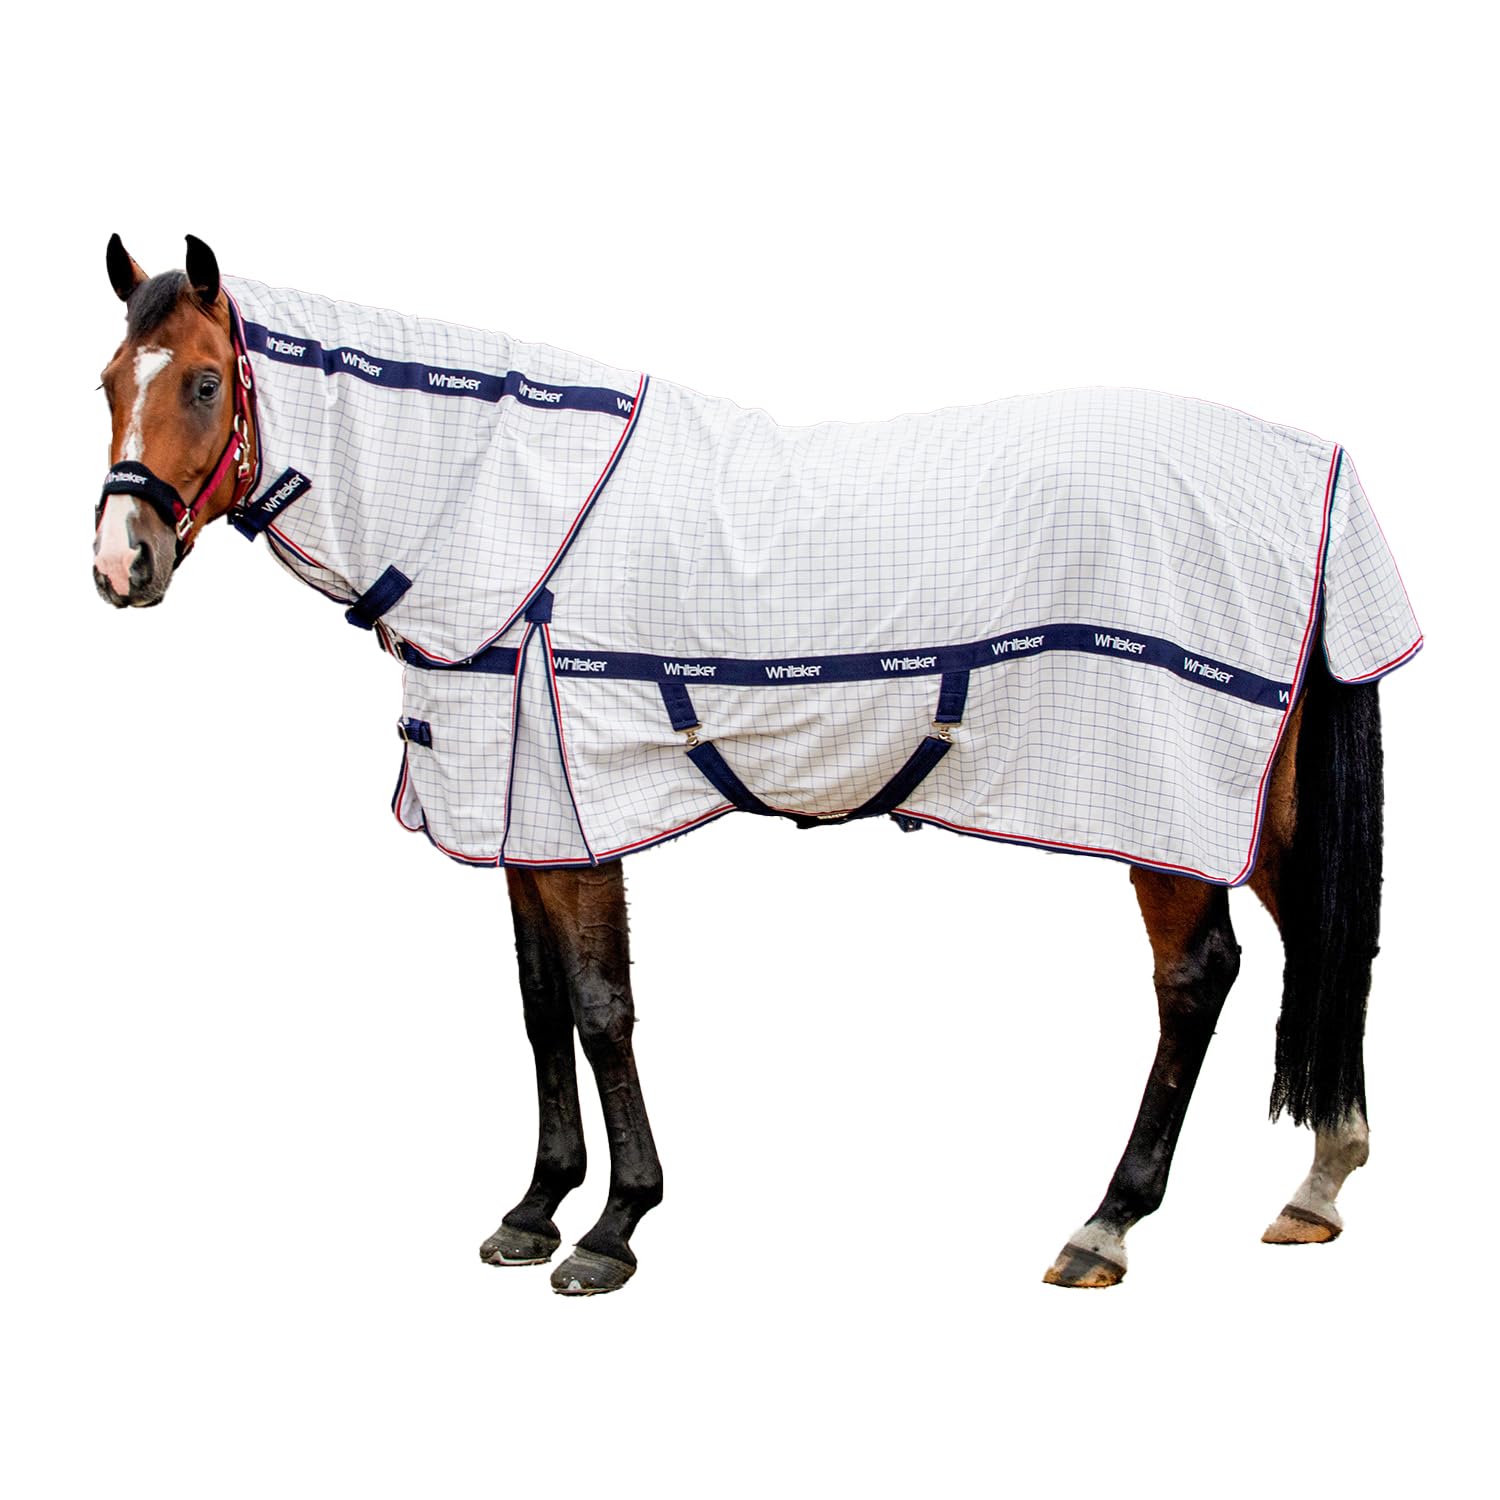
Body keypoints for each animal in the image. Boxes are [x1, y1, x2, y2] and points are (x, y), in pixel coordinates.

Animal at [92, 234, 1419, 1294]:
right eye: (106, 383)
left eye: (203, 381)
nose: (122, 562)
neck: (505, 514)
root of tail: (1316, 468)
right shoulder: (522, 824)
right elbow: (536, 1007)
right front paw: (535, 1209)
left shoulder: (583, 811)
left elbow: (601, 1007)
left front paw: (613, 1229)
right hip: (1257, 804)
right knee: (1324, 941)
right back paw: (1319, 1185)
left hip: (1169, 806)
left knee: (1197, 978)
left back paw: (1108, 1224)